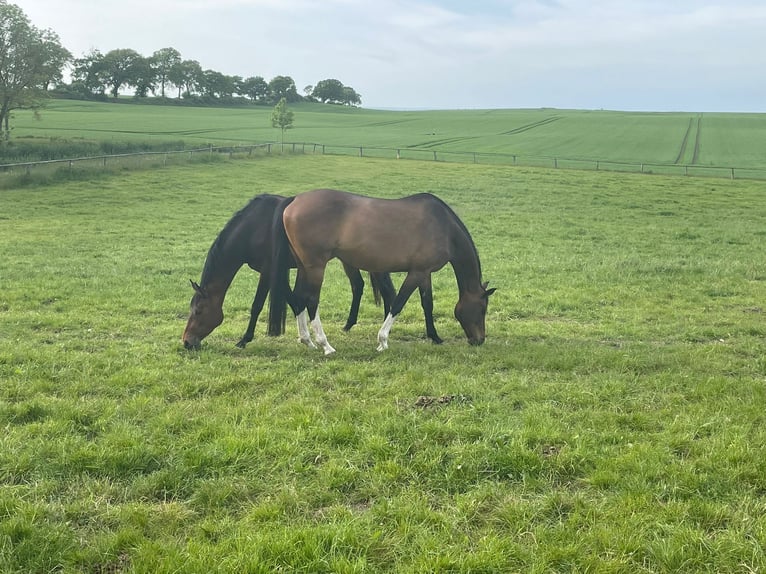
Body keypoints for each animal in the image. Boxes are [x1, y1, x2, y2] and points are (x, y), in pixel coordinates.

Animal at [183, 194, 400, 352]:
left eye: (198, 311)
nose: (186, 342)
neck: (255, 227)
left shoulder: (268, 271)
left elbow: (258, 305)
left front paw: (244, 339)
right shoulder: (277, 273)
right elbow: (294, 299)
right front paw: (305, 337)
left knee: (386, 291)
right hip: (349, 261)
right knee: (359, 286)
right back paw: (350, 325)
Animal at [270, 189, 498, 356]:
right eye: (482, 309)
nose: (479, 340)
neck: (444, 227)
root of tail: (294, 200)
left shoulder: (425, 273)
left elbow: (427, 304)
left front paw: (435, 337)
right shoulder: (416, 273)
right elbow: (398, 303)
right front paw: (382, 341)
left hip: (304, 267)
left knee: (299, 298)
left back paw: (307, 341)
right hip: (316, 266)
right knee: (311, 301)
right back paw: (325, 345)